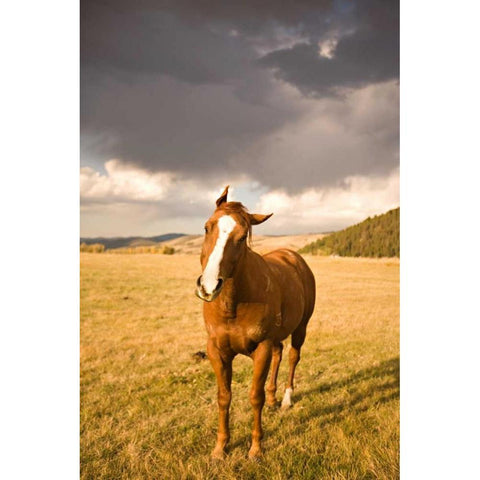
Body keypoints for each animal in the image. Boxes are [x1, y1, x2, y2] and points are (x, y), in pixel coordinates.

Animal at [194, 186, 316, 460]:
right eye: (206, 227)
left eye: (241, 238)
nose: (209, 286)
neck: (234, 305)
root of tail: (294, 257)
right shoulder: (216, 351)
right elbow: (223, 397)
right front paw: (220, 448)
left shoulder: (261, 349)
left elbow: (254, 397)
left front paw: (256, 449)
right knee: (279, 354)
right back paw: (273, 399)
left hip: (300, 328)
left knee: (292, 357)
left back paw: (285, 400)